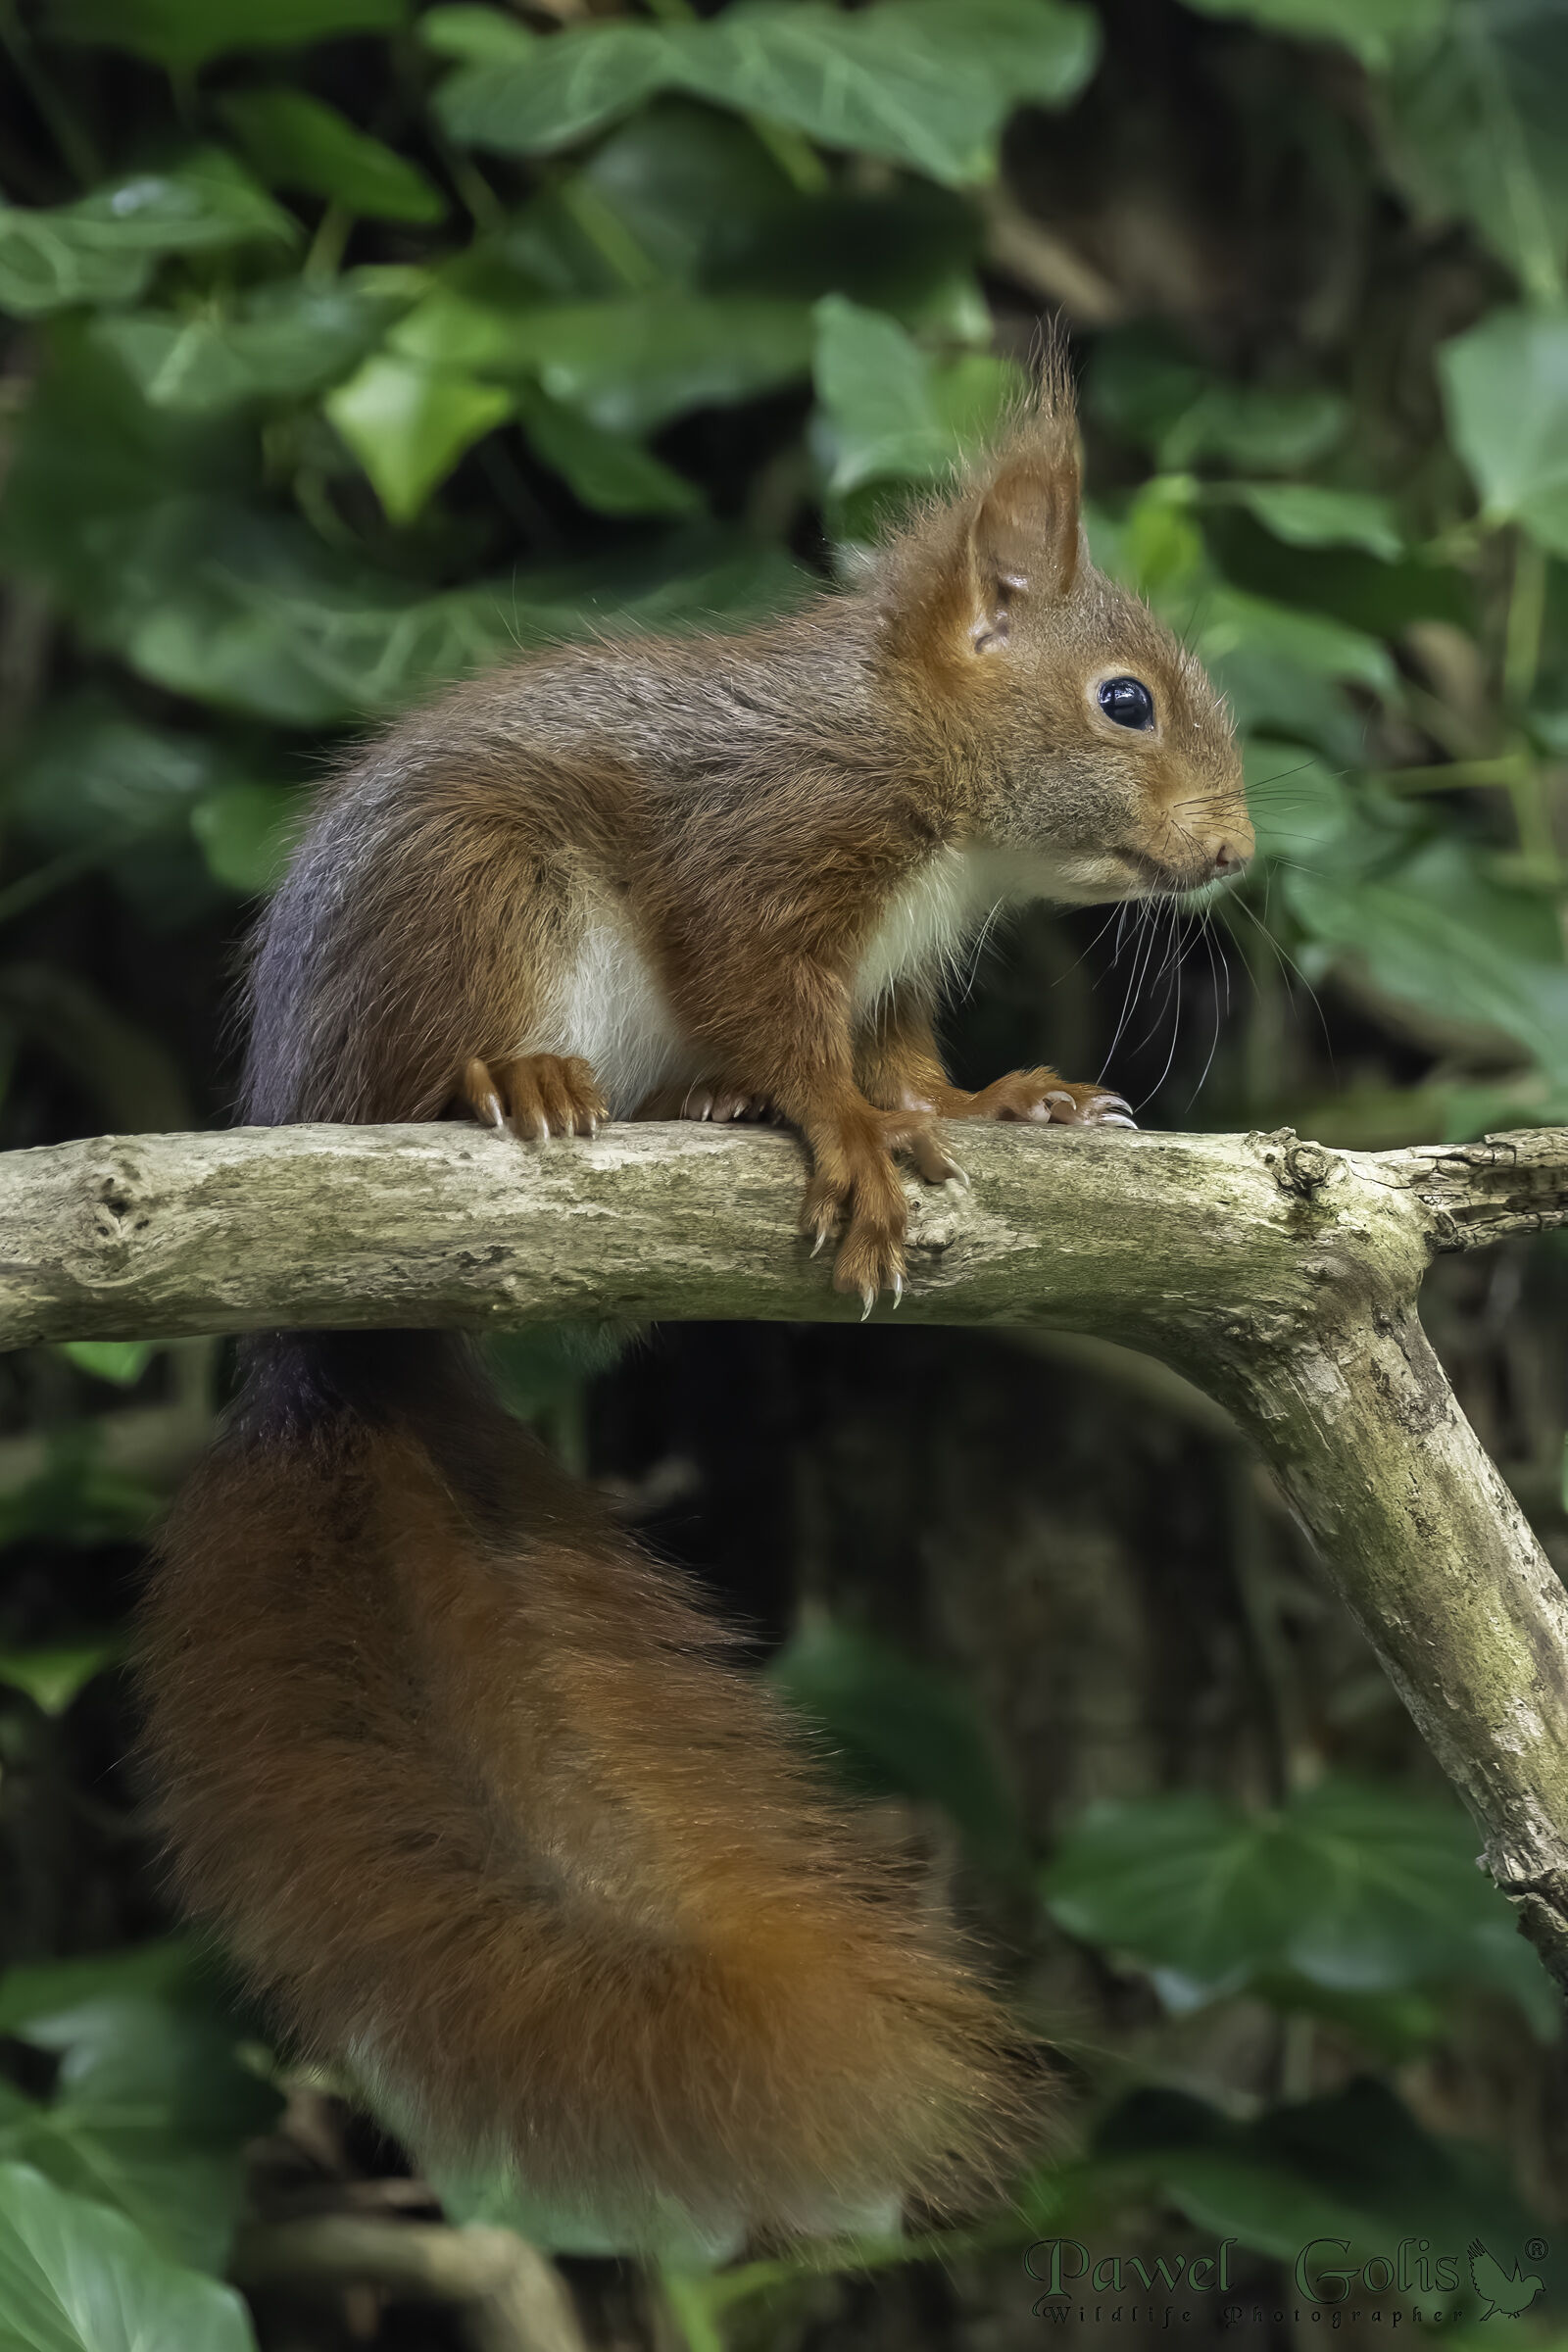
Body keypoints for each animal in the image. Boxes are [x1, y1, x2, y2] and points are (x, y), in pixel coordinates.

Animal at [138, 366, 1251, 2245]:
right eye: (1126, 702)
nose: (1237, 853)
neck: (921, 774)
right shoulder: (768, 852)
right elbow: (779, 1015)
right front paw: (849, 1137)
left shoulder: (888, 962)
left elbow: (894, 1055)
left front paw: (997, 1105)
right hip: (481, 900)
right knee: (442, 1063)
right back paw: (516, 1085)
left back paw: (703, 1109)